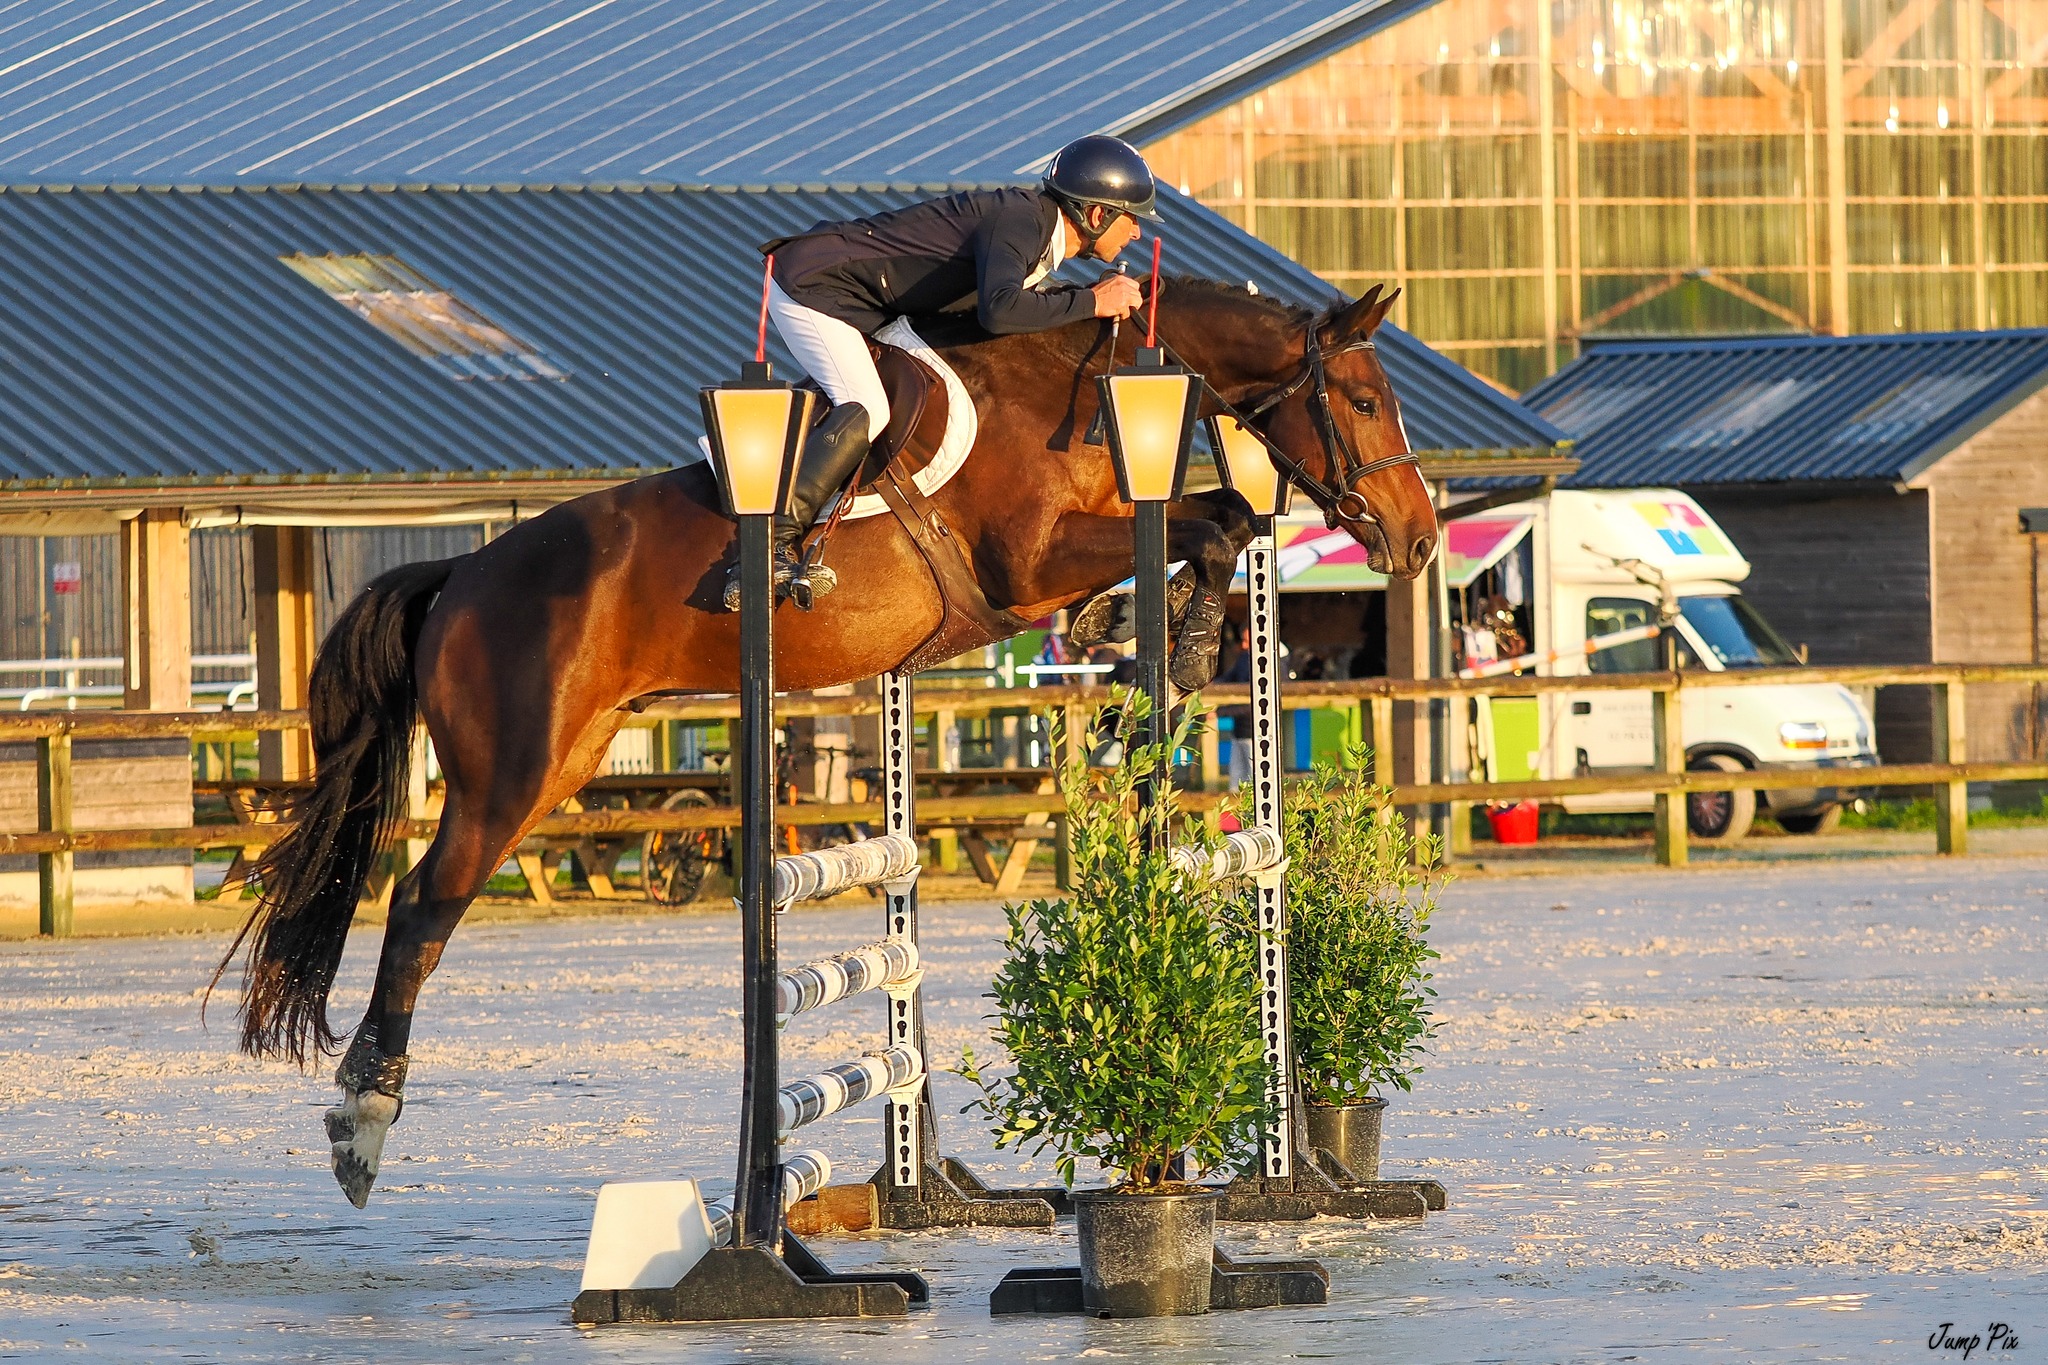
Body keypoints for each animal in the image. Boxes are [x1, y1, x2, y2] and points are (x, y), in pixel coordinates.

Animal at [216, 274, 1441, 1203]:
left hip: (569, 754)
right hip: (509, 770)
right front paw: (1171, 642)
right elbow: (1216, 521)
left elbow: (1217, 521)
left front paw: (1147, 638)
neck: (1081, 383)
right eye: (1363, 399)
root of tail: (460, 573)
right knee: (422, 905)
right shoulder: (1027, 560)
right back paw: (363, 1122)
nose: (1422, 540)